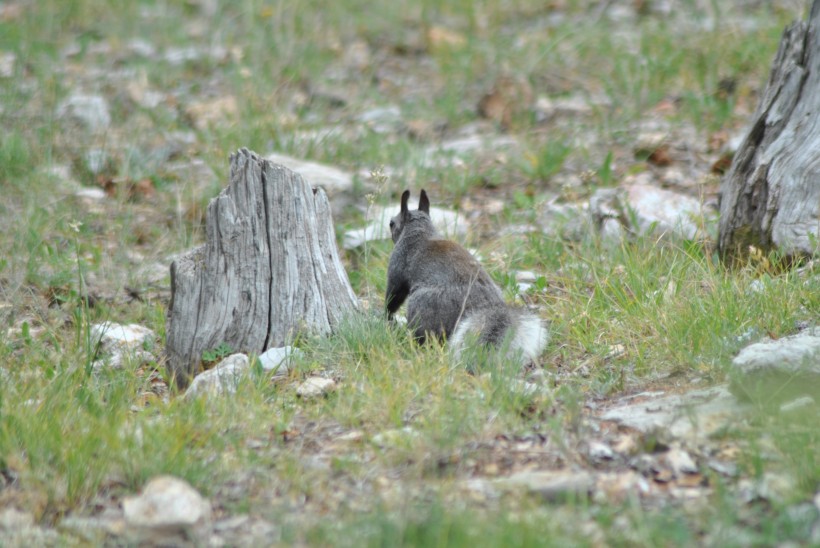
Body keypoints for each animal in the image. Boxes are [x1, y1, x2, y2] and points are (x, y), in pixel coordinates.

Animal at [386, 188, 552, 364]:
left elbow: (394, 294)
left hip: (422, 304)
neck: (420, 232)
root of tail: (483, 307)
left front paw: (387, 316)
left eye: (391, 223)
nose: (390, 230)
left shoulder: (398, 263)